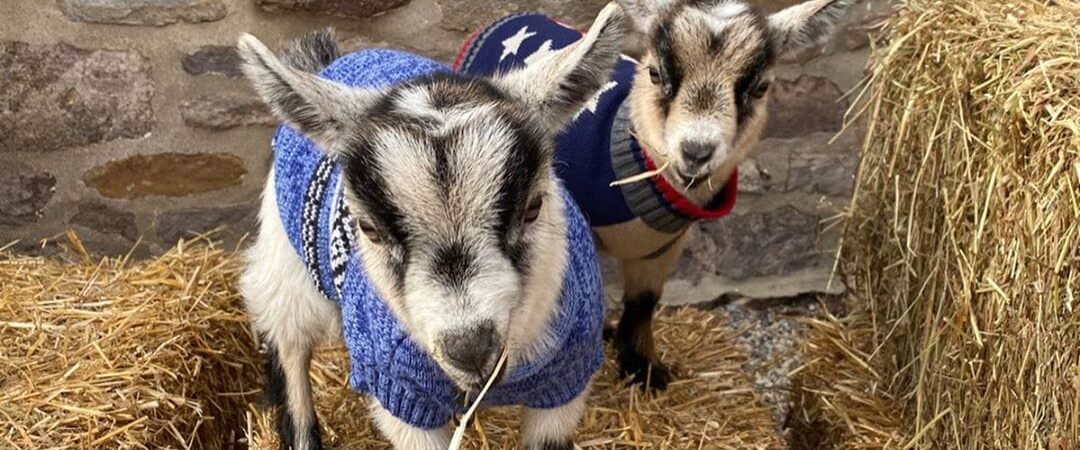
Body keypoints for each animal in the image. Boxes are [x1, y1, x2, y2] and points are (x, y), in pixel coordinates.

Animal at [237, 4, 624, 449]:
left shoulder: (565, 386)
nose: (470, 348)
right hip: (284, 266)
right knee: (287, 344)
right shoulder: (403, 398)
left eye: (533, 207)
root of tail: (329, 62)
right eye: (368, 228)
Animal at [457, 0, 850, 390]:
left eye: (760, 87)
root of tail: (519, 16)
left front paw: (643, 367)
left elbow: (644, 302)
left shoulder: (664, 247)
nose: (696, 151)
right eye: (655, 74)